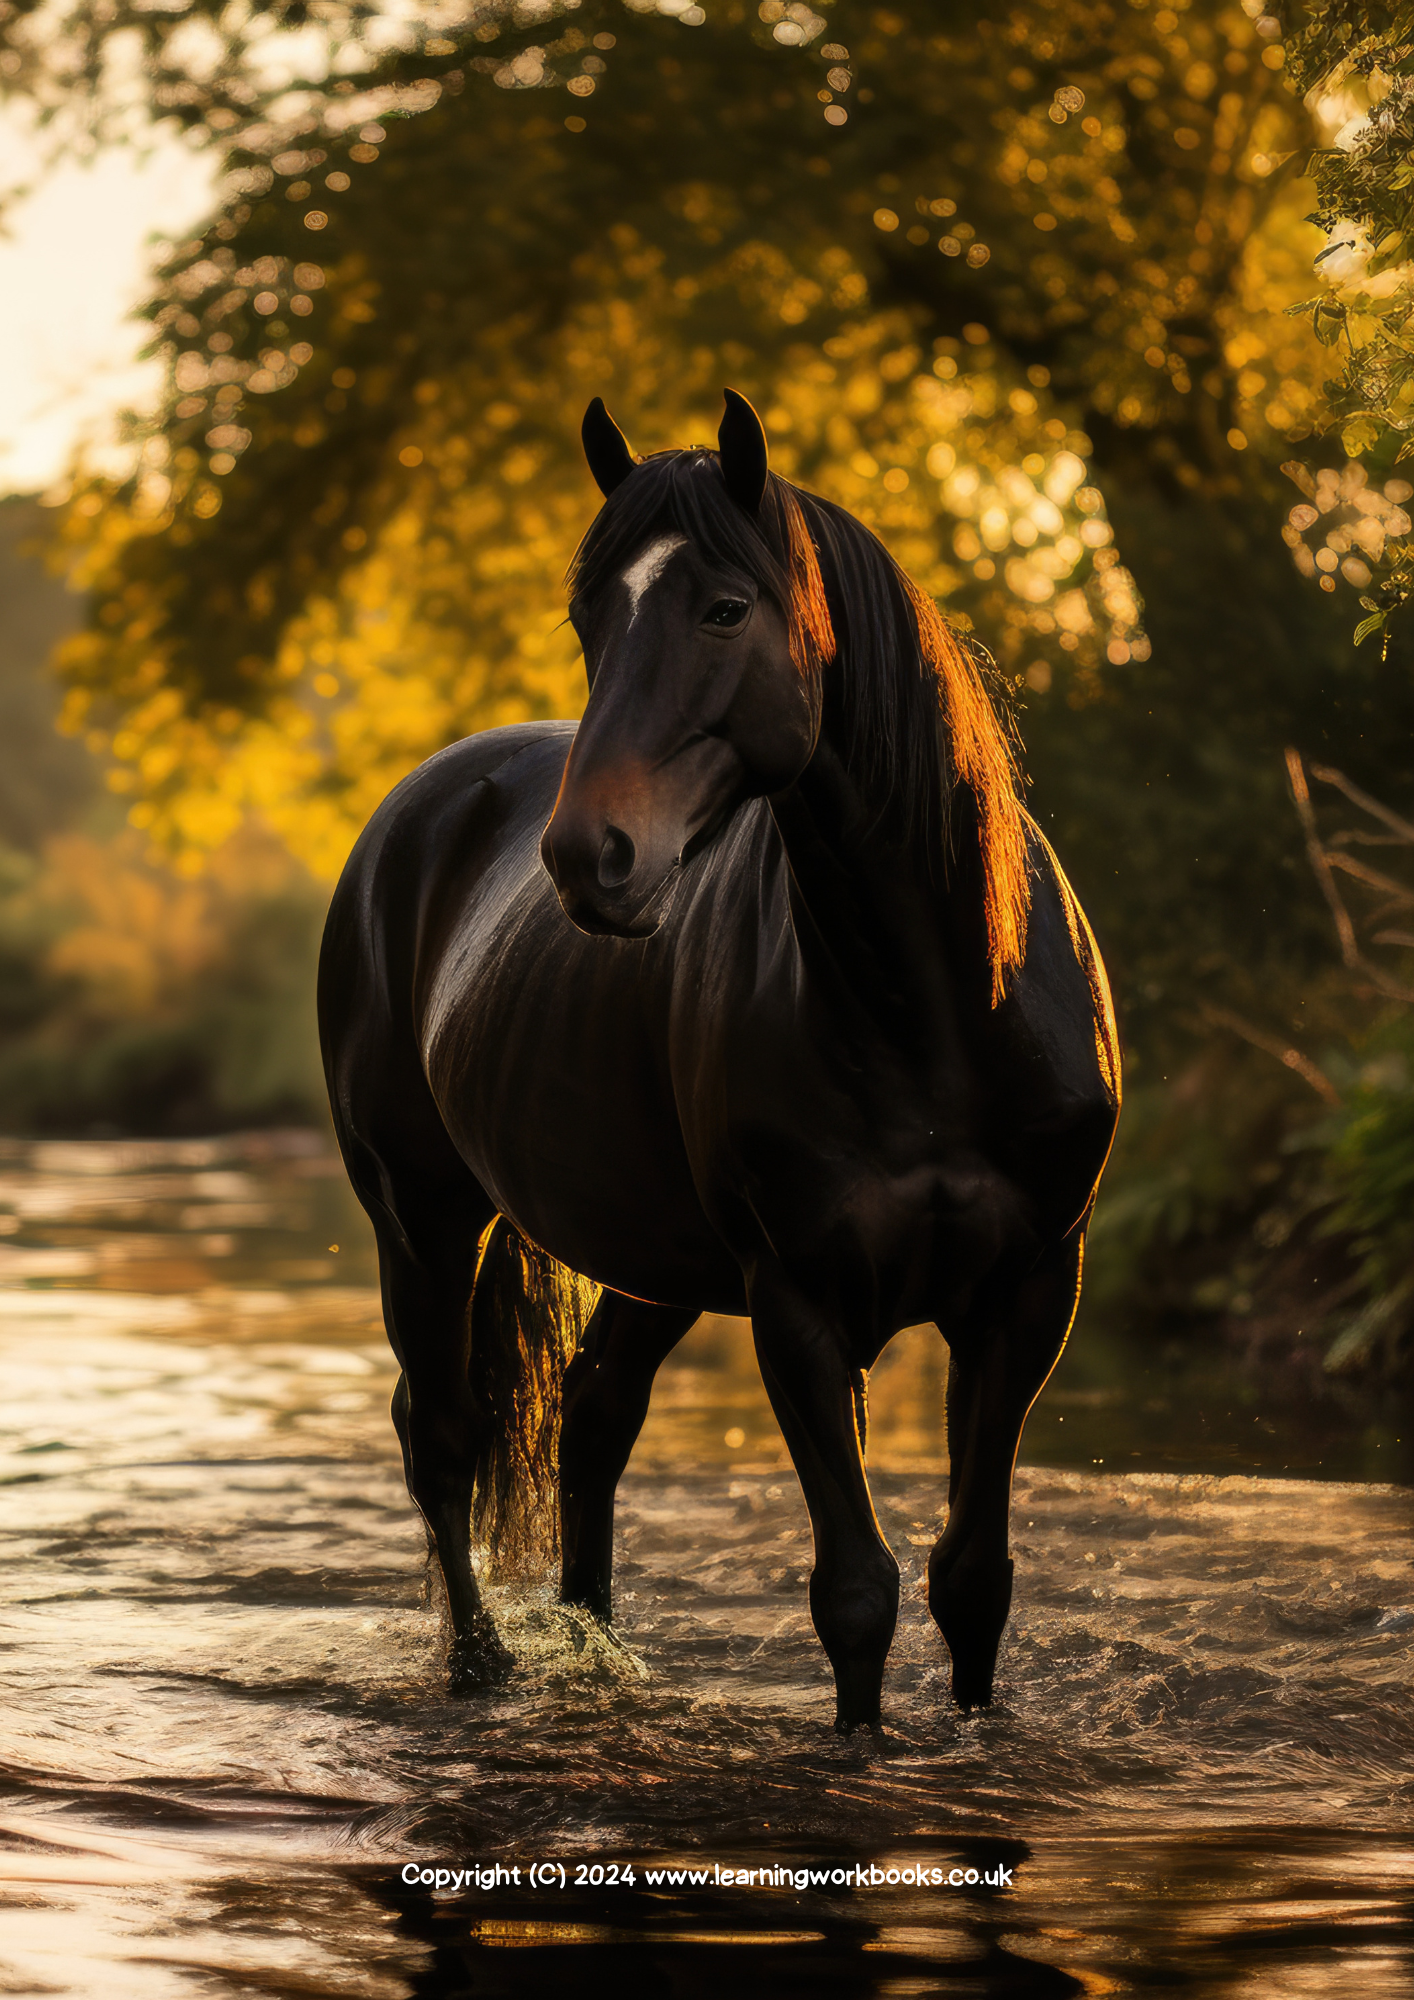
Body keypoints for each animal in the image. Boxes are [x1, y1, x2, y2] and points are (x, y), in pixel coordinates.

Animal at [318, 390, 1120, 1732]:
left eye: (726, 608)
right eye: (589, 616)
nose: (588, 856)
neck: (931, 1008)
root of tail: (418, 810)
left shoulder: (1024, 1294)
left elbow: (971, 1579)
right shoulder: (795, 1302)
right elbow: (855, 1591)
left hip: (649, 1256)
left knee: (591, 1415)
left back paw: (593, 1651)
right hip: (421, 1217)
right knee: (443, 1436)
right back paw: (483, 1669)